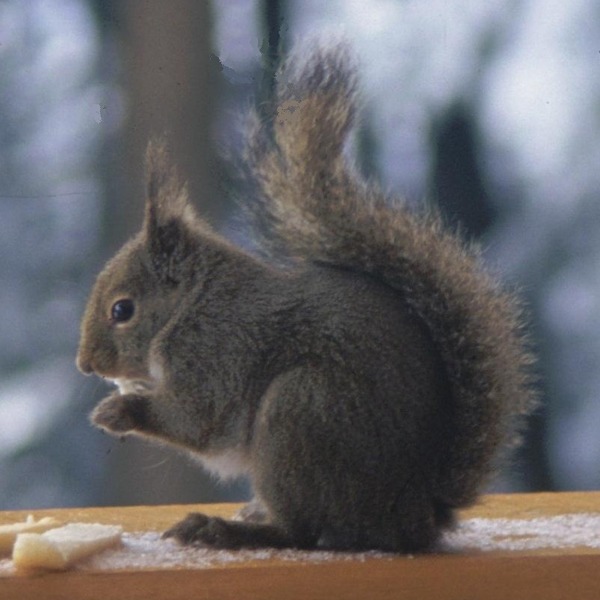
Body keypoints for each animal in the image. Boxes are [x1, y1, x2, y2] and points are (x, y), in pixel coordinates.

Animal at [77, 45, 536, 552]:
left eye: (122, 310)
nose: (86, 365)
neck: (192, 305)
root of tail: (415, 515)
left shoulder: (215, 353)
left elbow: (197, 419)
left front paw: (119, 409)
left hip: (300, 413)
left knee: (301, 531)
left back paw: (227, 529)